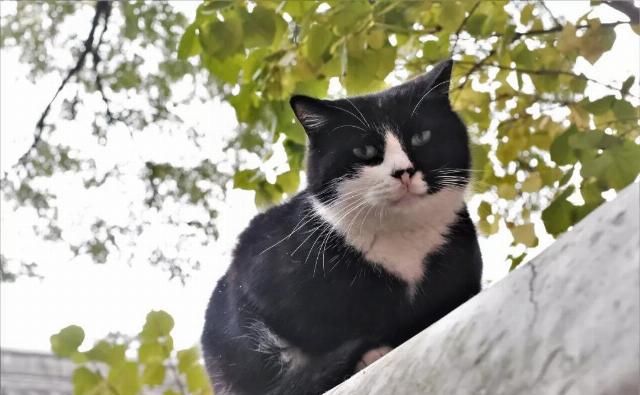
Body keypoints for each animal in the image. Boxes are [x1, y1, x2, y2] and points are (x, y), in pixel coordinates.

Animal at [202, 59, 482, 395]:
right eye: (364, 152)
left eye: (421, 137)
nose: (404, 171)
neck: (401, 240)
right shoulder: (258, 269)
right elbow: (325, 331)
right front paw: (368, 351)